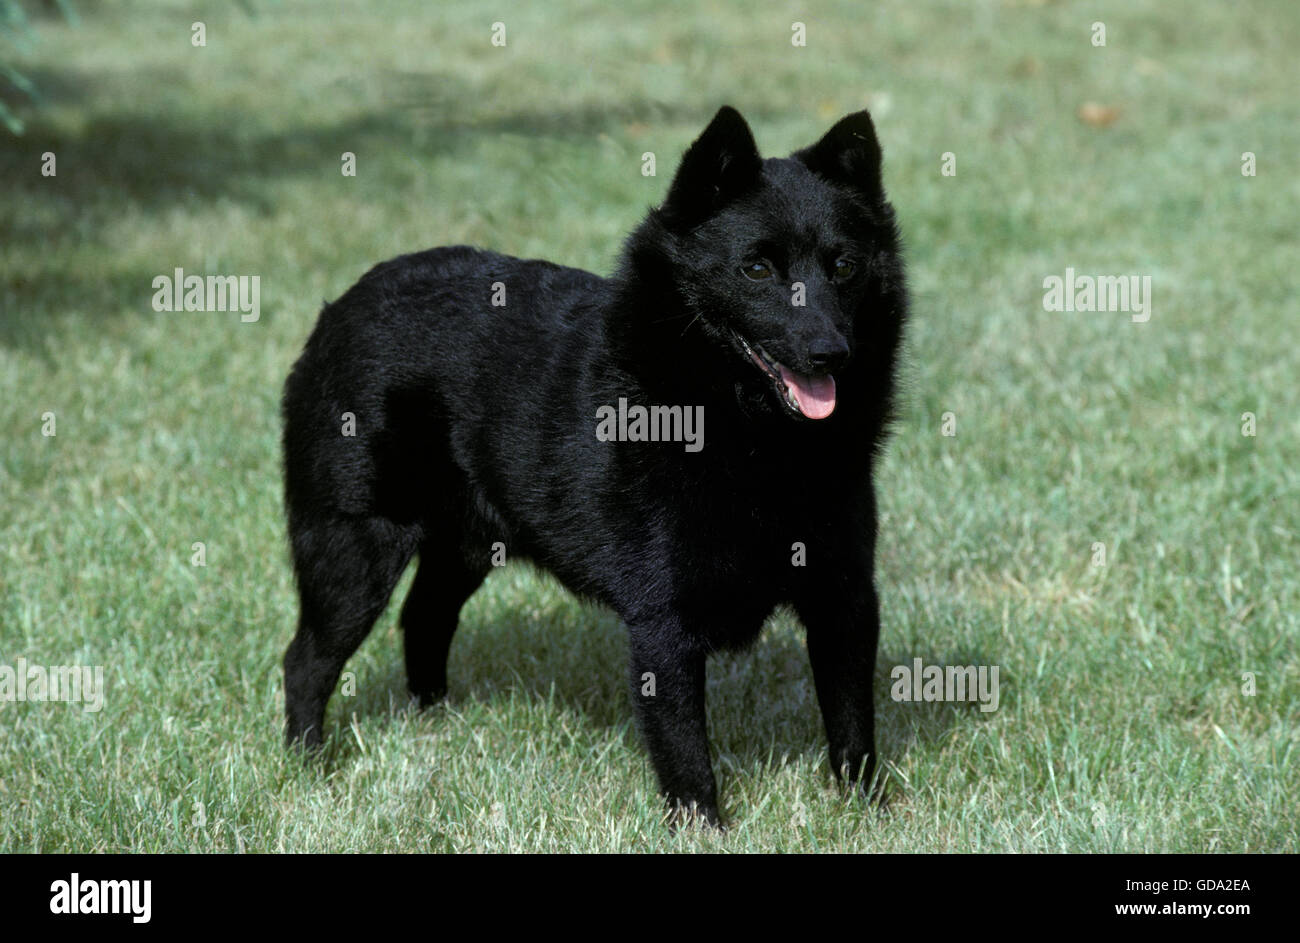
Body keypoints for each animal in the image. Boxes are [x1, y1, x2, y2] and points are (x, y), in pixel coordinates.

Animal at [279, 104, 909, 822]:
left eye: (844, 266)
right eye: (756, 269)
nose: (830, 352)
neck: (746, 433)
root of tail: (336, 310)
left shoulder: (844, 597)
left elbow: (853, 729)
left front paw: (869, 814)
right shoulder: (663, 623)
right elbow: (687, 755)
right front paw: (704, 829)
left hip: (465, 545)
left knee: (424, 620)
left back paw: (434, 728)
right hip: (352, 552)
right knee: (305, 661)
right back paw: (310, 769)